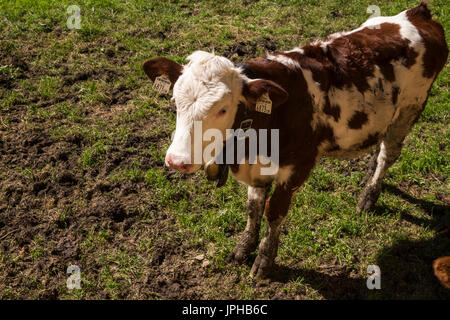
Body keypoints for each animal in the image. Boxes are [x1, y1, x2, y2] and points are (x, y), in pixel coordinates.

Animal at [143, 3, 446, 278]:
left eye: (222, 109)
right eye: (175, 101)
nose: (176, 160)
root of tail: (417, 14)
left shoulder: (298, 166)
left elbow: (274, 212)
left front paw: (264, 260)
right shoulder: (258, 170)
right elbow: (253, 209)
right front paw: (243, 248)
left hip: (410, 108)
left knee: (388, 153)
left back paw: (370, 194)